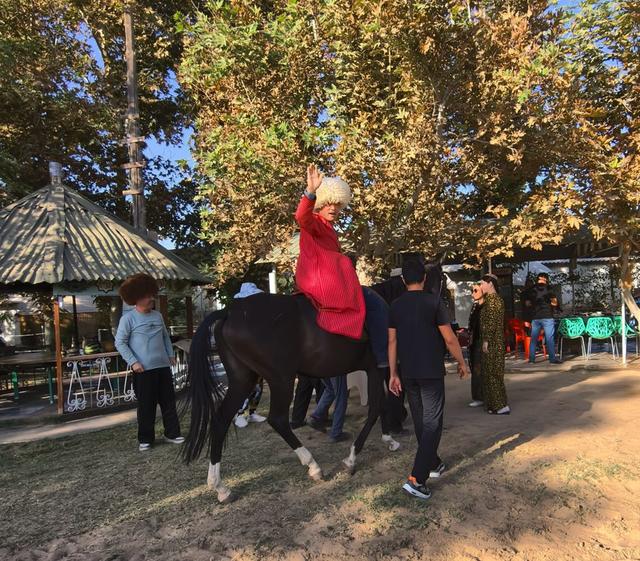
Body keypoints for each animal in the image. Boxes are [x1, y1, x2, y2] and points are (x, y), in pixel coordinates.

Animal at [182, 259, 445, 503]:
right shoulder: (377, 367)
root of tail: (231, 311)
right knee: (277, 419)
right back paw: (313, 466)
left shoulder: (378, 370)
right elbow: (377, 407)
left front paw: (388, 438)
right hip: (281, 378)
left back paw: (220, 486)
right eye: (442, 280)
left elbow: (381, 405)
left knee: (221, 419)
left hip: (243, 379)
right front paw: (353, 458)